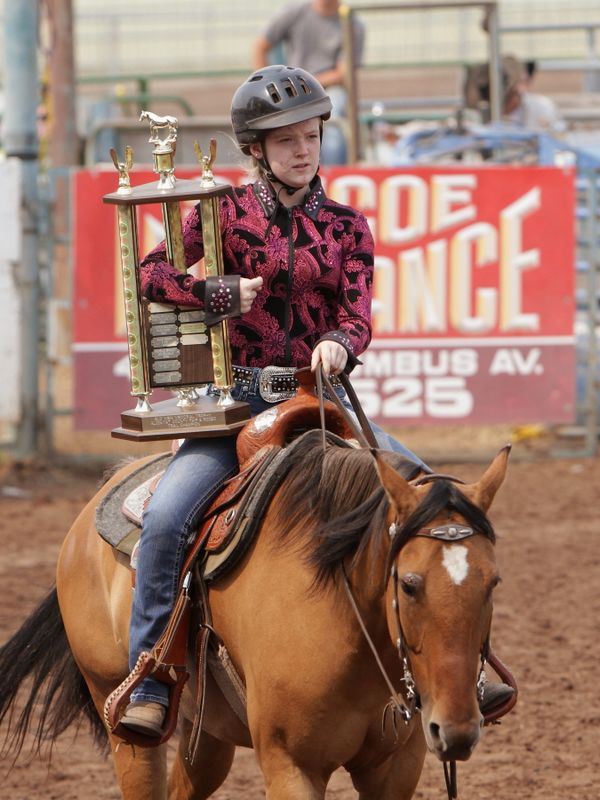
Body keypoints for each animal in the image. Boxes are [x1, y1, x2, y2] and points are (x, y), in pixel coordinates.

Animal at [0, 425, 510, 800]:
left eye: (493, 583)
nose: (457, 730)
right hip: (121, 717)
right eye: (409, 584)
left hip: (206, 732)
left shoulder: (396, 767)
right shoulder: (291, 765)